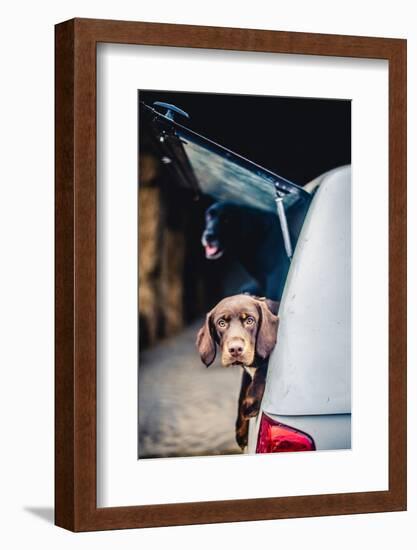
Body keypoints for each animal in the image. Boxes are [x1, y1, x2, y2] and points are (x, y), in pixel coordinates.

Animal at [196, 296, 280, 450]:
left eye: (250, 321)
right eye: (221, 323)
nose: (235, 349)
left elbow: (263, 370)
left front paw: (251, 402)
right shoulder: (246, 372)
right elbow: (241, 394)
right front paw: (240, 431)